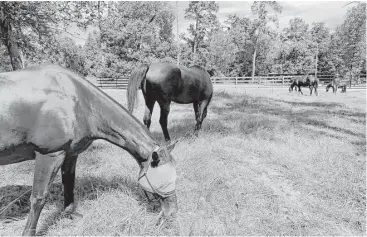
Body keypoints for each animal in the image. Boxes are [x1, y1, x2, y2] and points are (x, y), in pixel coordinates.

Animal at [0, 64, 178, 235]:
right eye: (163, 182)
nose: (171, 215)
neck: (76, 100)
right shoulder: (49, 156)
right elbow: (38, 198)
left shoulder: (70, 155)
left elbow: (69, 185)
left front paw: (70, 214)